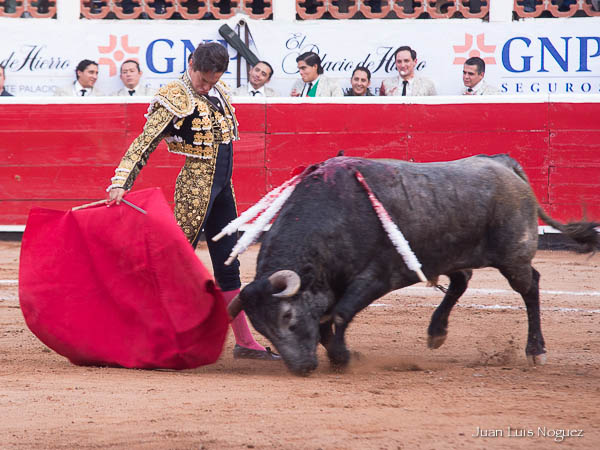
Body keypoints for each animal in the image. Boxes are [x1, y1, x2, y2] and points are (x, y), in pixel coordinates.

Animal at [227, 156, 596, 376]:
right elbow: (325, 323)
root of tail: (503, 164)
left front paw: (342, 358)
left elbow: (341, 315)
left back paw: (536, 351)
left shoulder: (377, 276)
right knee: (462, 280)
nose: (302, 367)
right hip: (445, 254)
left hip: (513, 256)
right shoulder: (330, 285)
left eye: (288, 318)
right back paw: (436, 332)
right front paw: (341, 355)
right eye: (263, 330)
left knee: (530, 286)